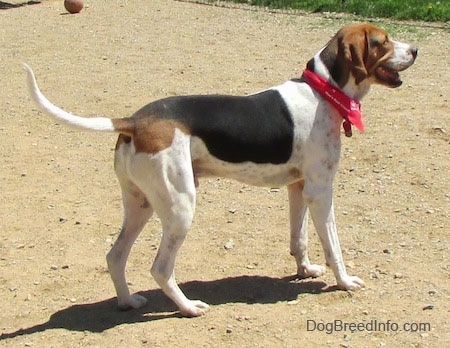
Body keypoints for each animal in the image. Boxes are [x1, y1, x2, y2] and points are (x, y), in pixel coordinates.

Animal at [24, 23, 416, 316]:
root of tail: (136, 121)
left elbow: (299, 239)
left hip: (141, 205)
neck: (323, 92)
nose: (415, 50)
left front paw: (304, 271)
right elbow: (333, 245)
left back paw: (127, 301)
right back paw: (188, 307)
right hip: (180, 208)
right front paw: (345, 282)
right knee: (160, 268)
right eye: (381, 42)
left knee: (115, 255)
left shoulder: (299, 187)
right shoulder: (321, 192)